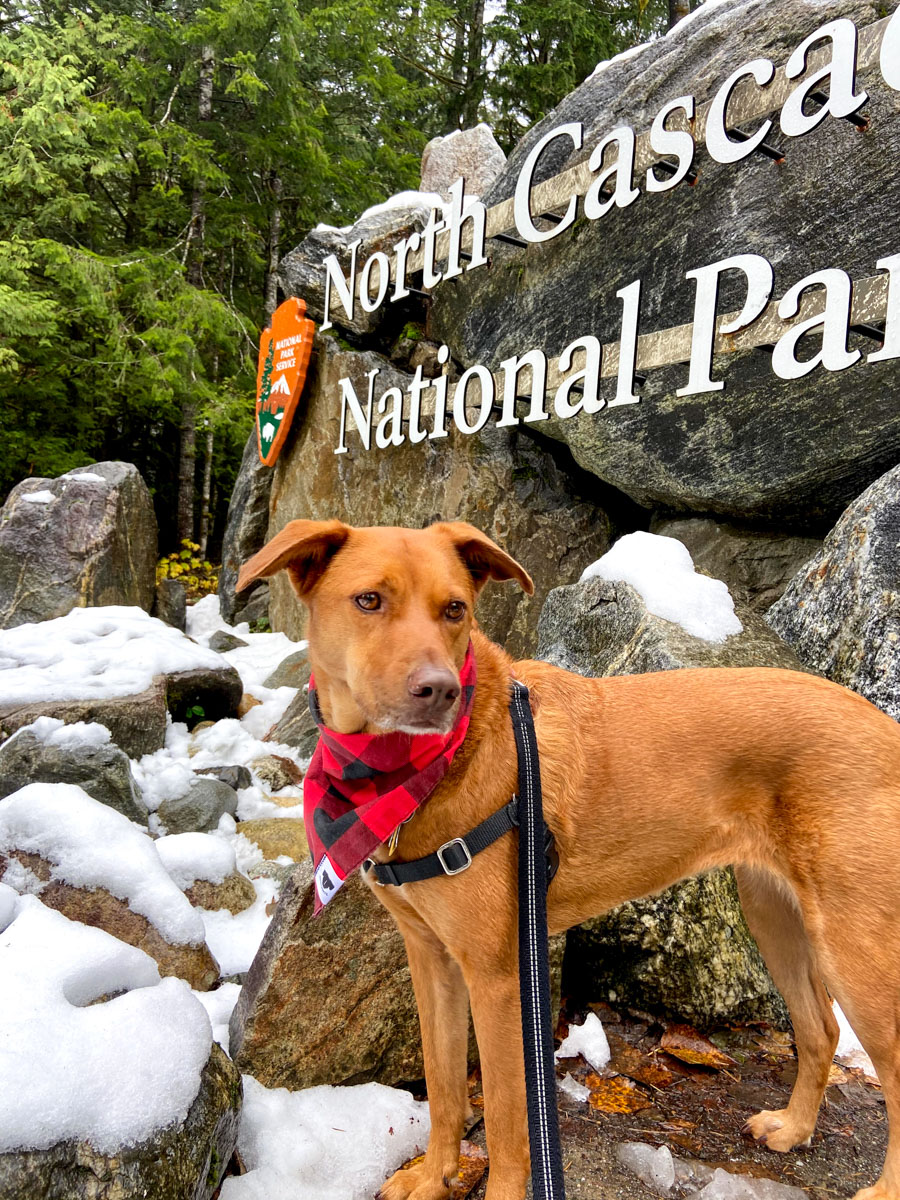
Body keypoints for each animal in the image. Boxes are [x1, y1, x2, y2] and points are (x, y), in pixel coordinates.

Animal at [237, 520, 900, 1200]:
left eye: (456, 610)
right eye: (368, 601)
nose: (440, 690)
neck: (414, 772)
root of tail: (885, 727)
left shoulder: (498, 977)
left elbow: (508, 1126)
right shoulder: (432, 959)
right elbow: (444, 1085)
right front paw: (433, 1176)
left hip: (856, 948)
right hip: (775, 915)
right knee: (821, 1029)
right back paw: (793, 1128)